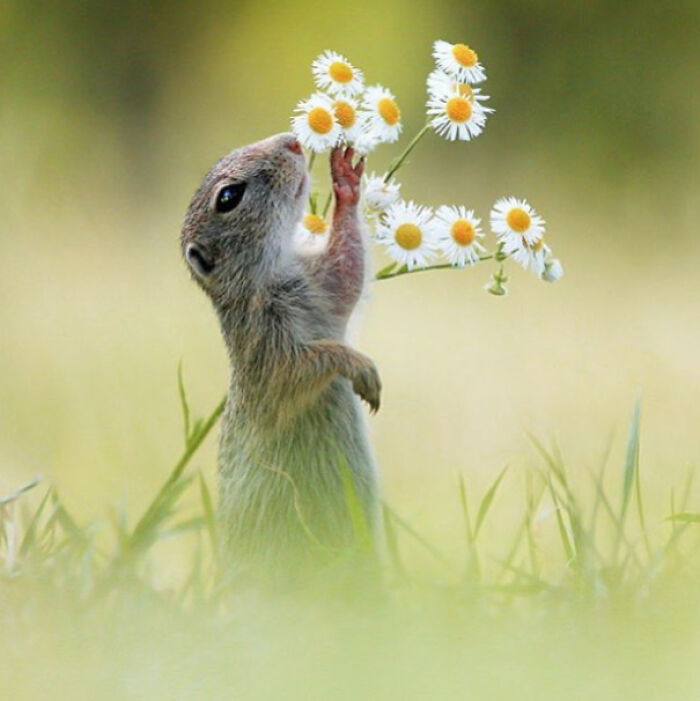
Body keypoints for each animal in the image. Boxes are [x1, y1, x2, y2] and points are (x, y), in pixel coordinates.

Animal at [181, 133, 382, 580]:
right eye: (229, 196)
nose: (291, 141)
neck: (272, 275)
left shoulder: (323, 284)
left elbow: (349, 269)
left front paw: (345, 177)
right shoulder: (266, 348)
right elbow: (304, 366)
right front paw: (360, 367)